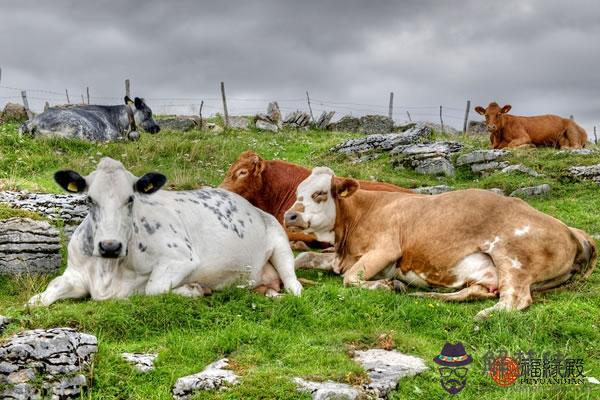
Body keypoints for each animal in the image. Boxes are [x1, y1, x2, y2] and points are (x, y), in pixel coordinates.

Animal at [27, 157, 302, 306]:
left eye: (130, 199)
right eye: (89, 199)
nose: (109, 246)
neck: (108, 272)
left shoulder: (180, 258)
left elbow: (152, 289)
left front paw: (193, 289)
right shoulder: (75, 272)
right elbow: (44, 295)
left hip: (280, 243)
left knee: (293, 284)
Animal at [284, 167, 596, 320]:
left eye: (320, 193)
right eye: (298, 191)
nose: (289, 215)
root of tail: (570, 229)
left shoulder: (386, 249)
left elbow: (349, 279)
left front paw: (385, 285)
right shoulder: (341, 256)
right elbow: (302, 259)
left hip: (514, 258)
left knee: (515, 299)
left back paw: (484, 317)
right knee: (477, 292)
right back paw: (425, 295)